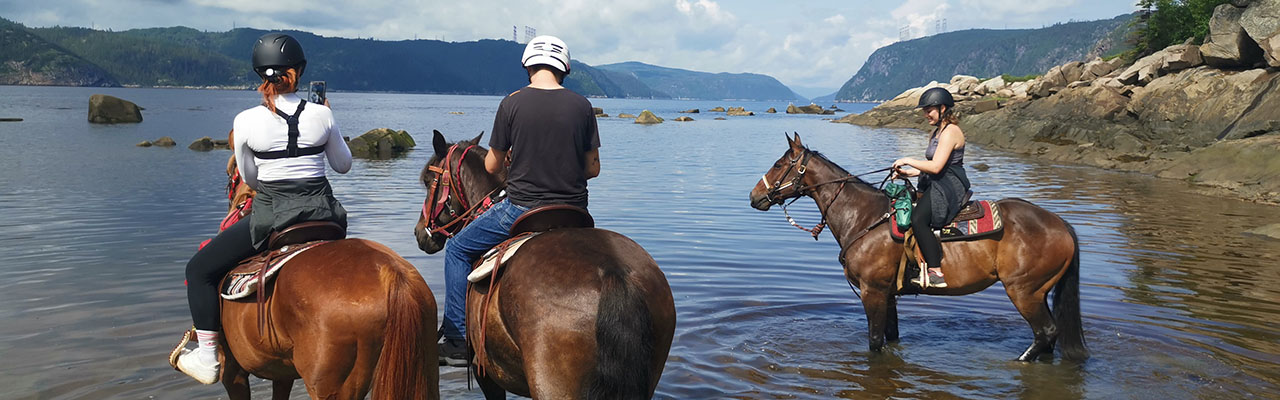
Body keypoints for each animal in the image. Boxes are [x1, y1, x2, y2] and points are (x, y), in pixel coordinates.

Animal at [186, 135, 442, 397]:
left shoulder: (233, 371)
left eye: (230, 176)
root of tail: (390, 274)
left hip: (333, 389)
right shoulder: (283, 374)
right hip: (425, 371)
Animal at [747, 133, 1085, 361]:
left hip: (1025, 291)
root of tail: (1061, 225)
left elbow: (874, 342)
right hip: (1038, 292)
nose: (754, 196)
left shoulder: (872, 291)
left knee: (1045, 333)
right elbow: (891, 338)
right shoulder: (888, 295)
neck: (864, 217)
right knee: (1049, 339)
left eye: (779, 164)